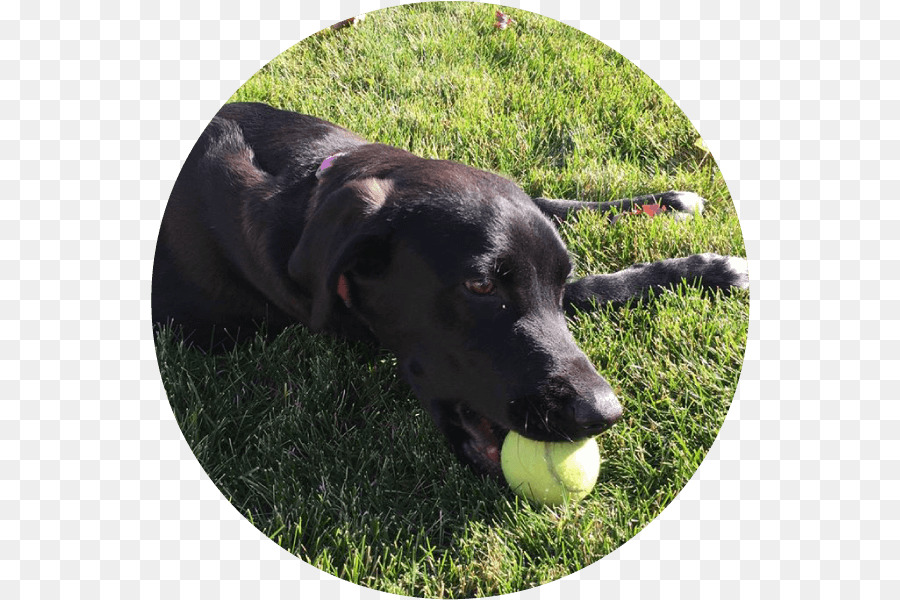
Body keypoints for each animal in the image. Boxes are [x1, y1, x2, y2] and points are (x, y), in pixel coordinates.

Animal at [153, 104, 744, 478]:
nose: (603, 414)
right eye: (479, 285)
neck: (309, 191)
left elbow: (560, 216)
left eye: (553, 281)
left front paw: (685, 235)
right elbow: (591, 287)